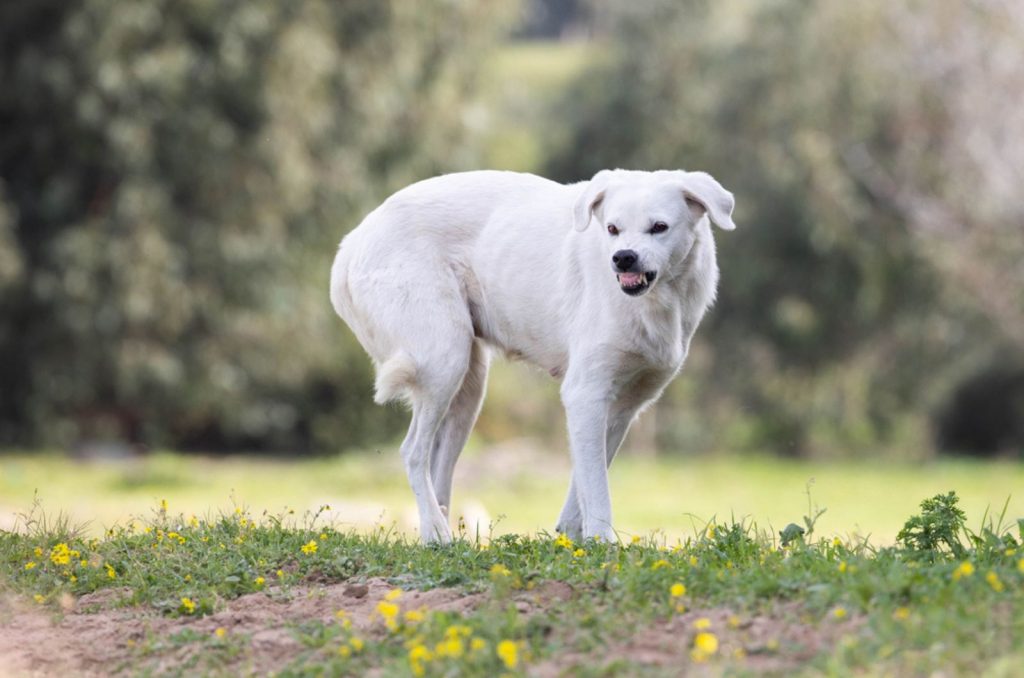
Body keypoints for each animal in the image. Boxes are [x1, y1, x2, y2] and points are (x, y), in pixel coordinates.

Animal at [331, 171, 741, 548]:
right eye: (612, 228)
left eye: (659, 227)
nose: (623, 258)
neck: (658, 301)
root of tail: (353, 241)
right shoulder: (584, 394)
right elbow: (597, 488)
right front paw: (602, 545)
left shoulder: (623, 407)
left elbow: (584, 483)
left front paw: (570, 540)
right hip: (443, 362)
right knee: (412, 453)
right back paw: (437, 533)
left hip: (468, 389)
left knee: (436, 465)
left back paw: (441, 536)